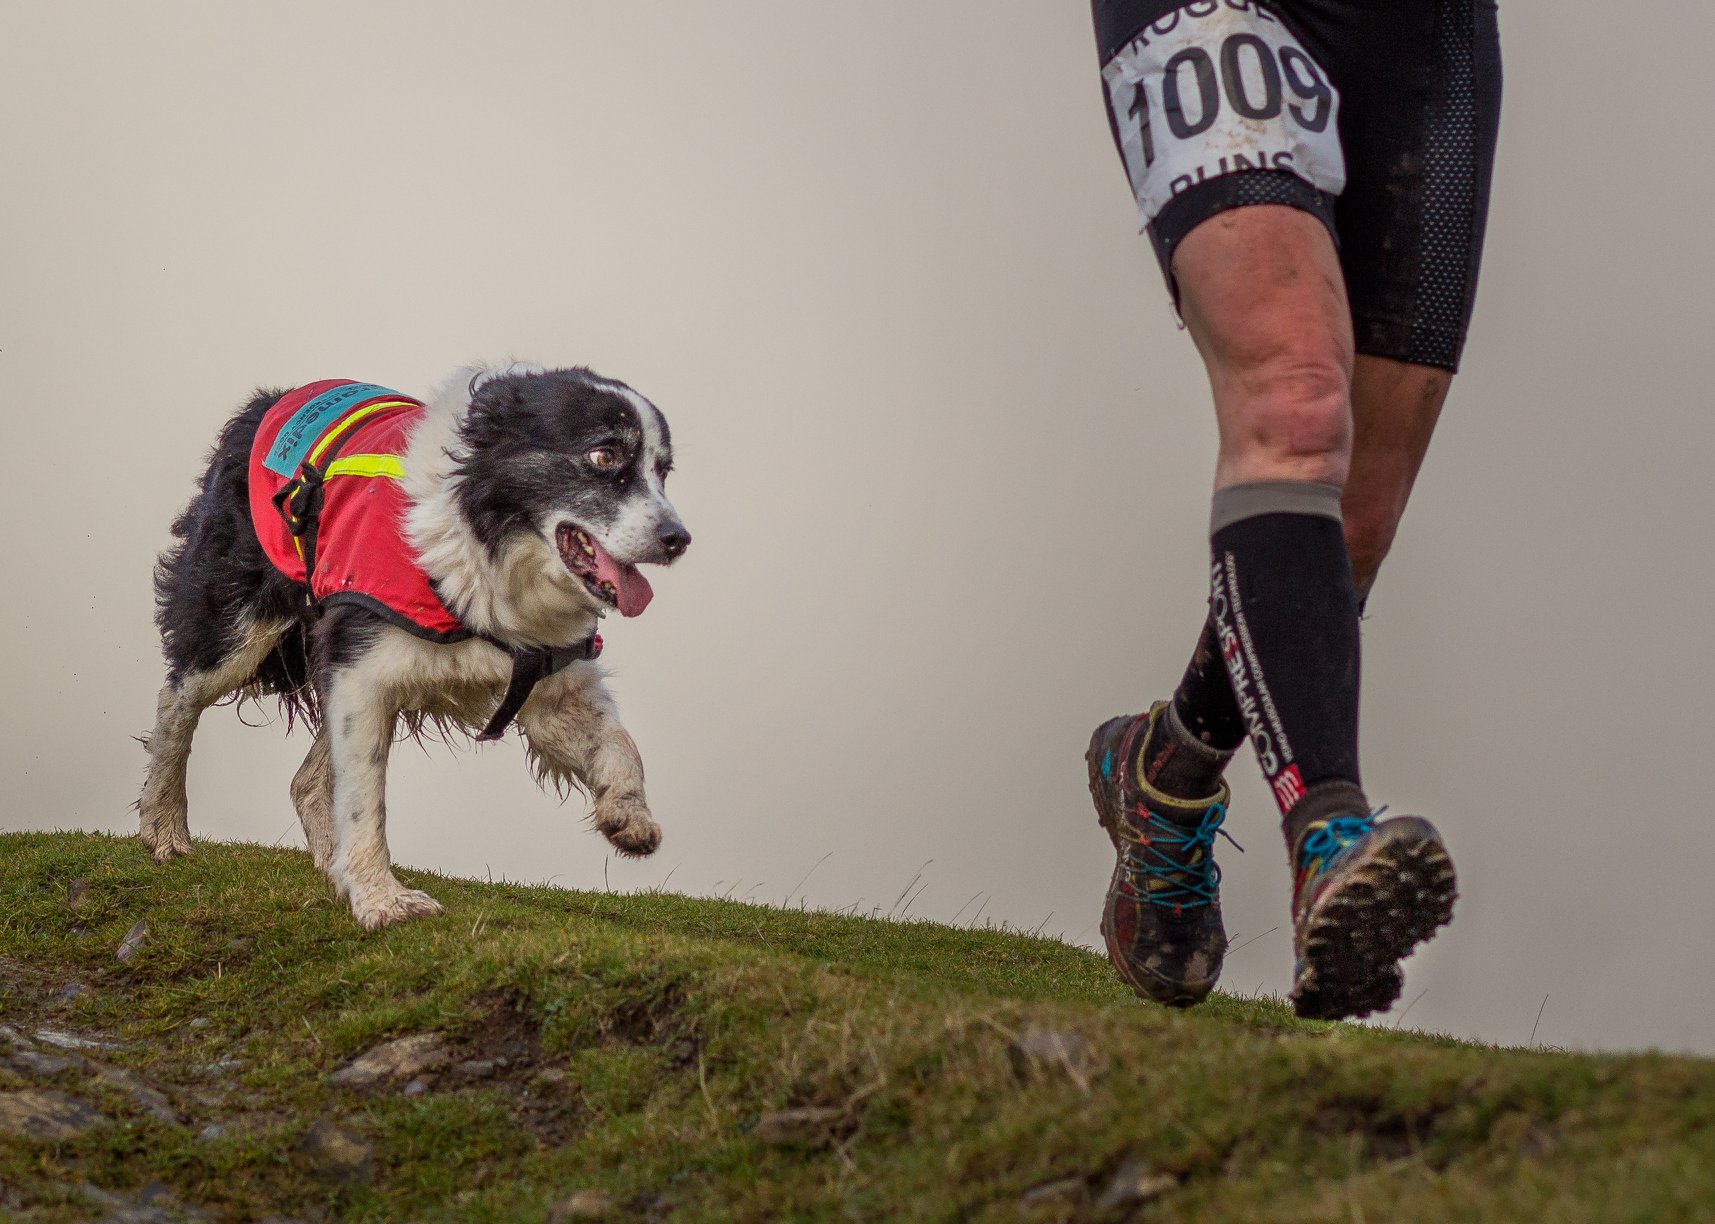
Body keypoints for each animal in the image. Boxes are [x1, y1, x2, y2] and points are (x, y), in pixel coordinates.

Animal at [140, 361, 686, 925]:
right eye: (603, 455)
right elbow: (365, 798)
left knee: (306, 780)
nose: (679, 539)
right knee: (178, 701)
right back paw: (164, 829)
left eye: (663, 471)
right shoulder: (360, 671)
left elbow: (620, 743)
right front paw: (381, 900)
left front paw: (628, 813)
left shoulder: (545, 676)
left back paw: (329, 866)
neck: (481, 550)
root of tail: (266, 403)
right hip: (237, 619)